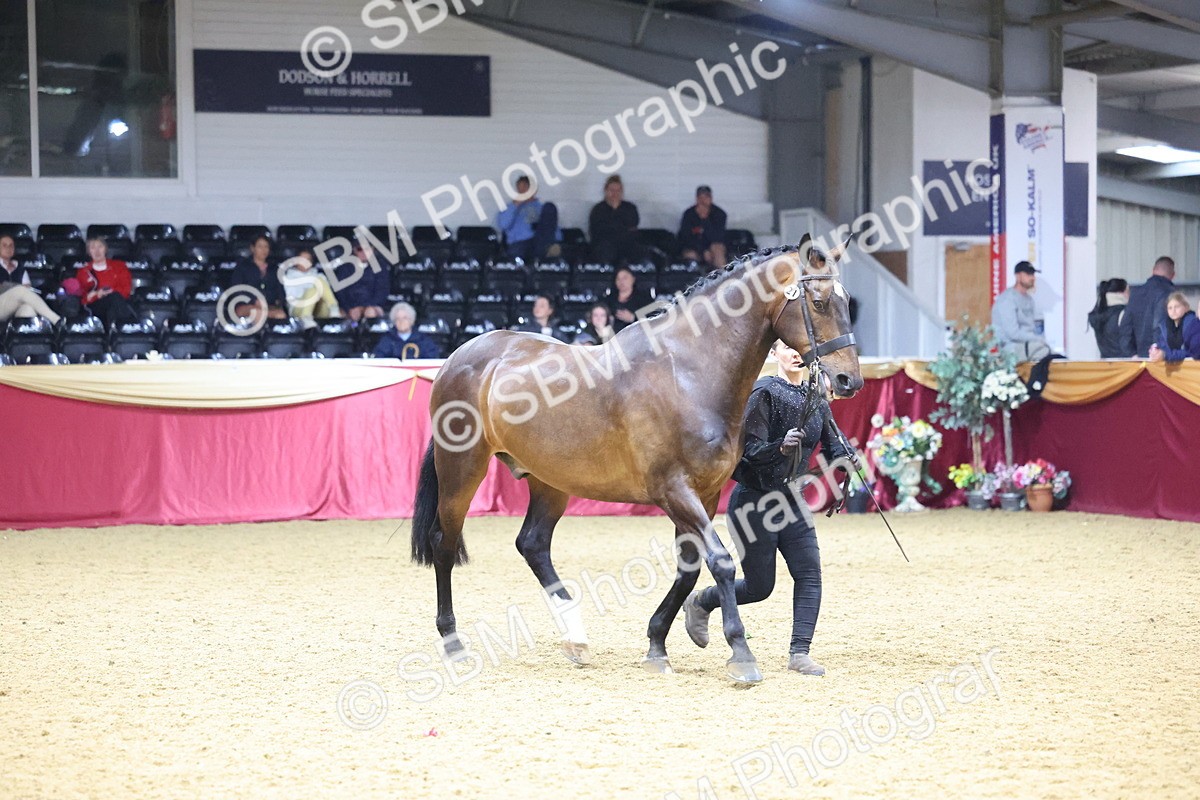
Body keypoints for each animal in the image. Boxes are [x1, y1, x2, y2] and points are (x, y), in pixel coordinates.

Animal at [411, 239, 863, 683]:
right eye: (819, 302)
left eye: (847, 301)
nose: (849, 381)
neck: (688, 373)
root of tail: (459, 356)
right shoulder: (673, 491)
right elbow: (719, 561)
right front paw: (740, 653)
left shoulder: (705, 494)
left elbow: (689, 568)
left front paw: (657, 645)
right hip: (462, 468)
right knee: (444, 543)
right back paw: (453, 643)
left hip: (549, 481)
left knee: (533, 544)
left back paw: (576, 639)